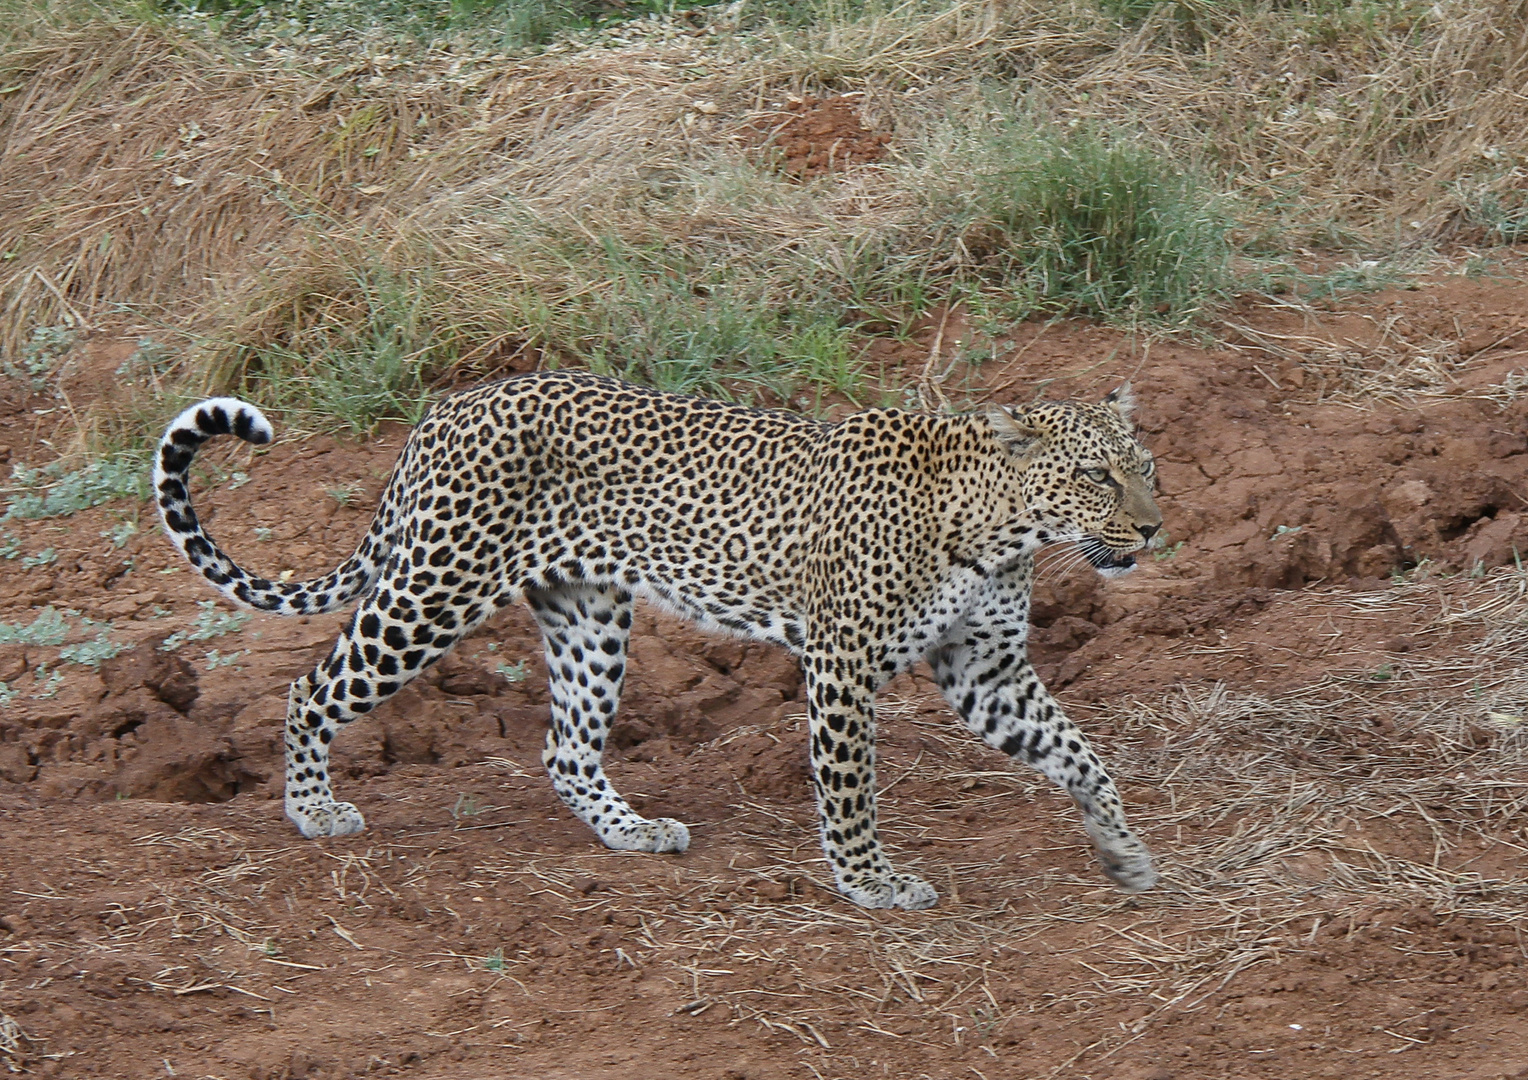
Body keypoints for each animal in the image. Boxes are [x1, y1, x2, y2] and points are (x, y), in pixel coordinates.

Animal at [152, 368, 1155, 910]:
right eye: (1097, 476)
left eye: (1145, 466)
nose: (1152, 530)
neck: (998, 530)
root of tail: (441, 414)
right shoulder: (841, 665)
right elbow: (850, 790)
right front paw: (870, 883)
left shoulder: (985, 665)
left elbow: (1077, 752)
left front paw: (1122, 851)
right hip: (431, 594)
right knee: (311, 688)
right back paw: (311, 810)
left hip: (589, 614)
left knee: (564, 747)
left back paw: (632, 832)